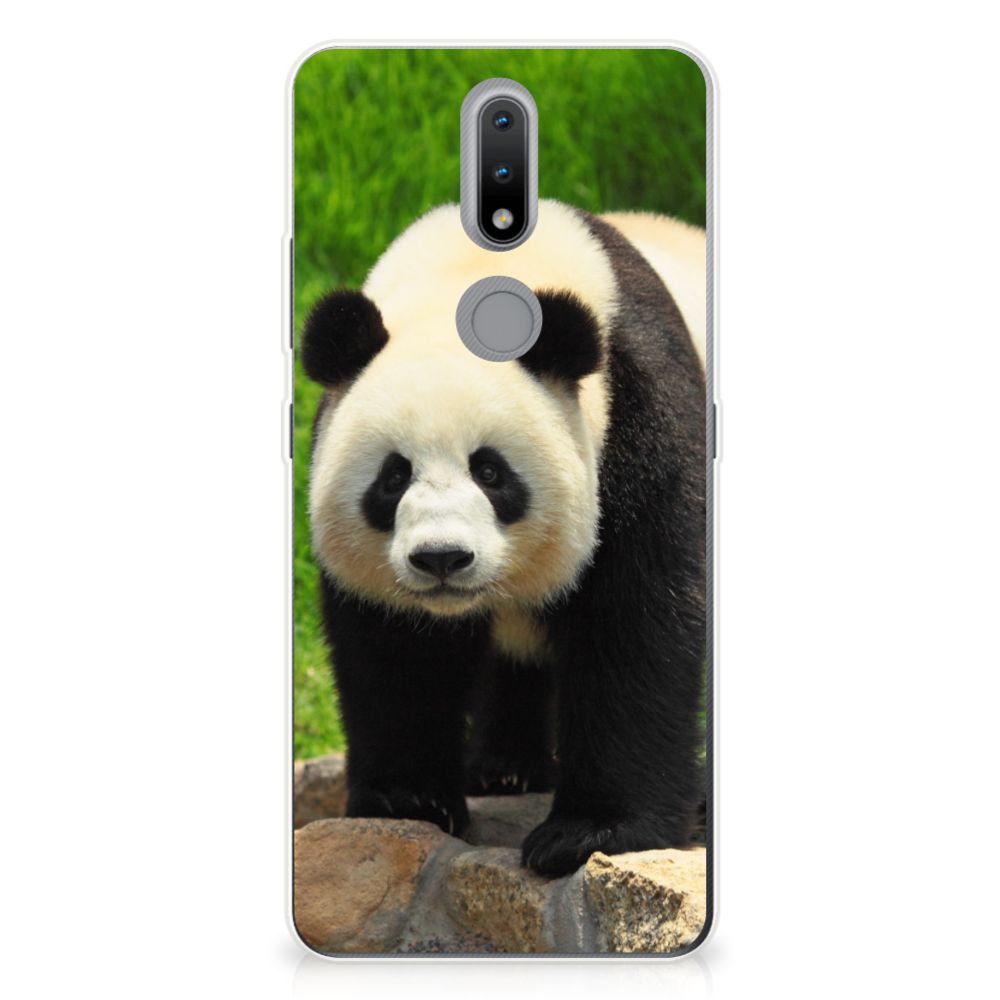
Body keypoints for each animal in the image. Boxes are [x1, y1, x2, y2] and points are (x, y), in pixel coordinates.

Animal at [302, 199, 707, 877]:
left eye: (490, 472)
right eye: (393, 476)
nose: (442, 558)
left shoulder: (640, 418)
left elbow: (639, 623)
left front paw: (589, 832)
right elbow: (396, 649)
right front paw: (408, 799)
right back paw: (504, 769)